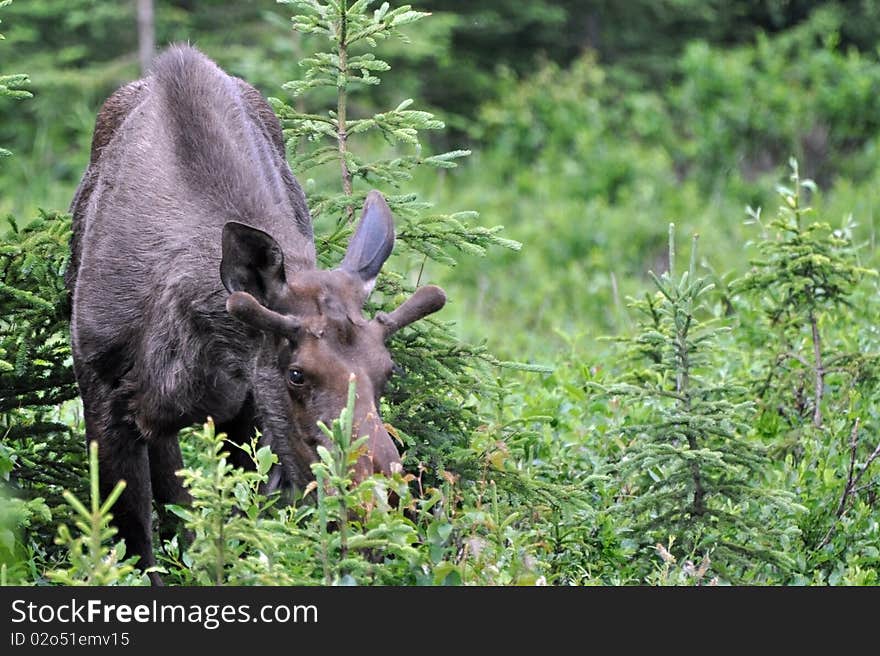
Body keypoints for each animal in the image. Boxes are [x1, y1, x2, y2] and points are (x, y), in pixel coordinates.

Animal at [67, 44, 446, 584]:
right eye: (297, 374)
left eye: (387, 371)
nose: (377, 498)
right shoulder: (101, 389)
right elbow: (132, 542)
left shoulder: (244, 410)